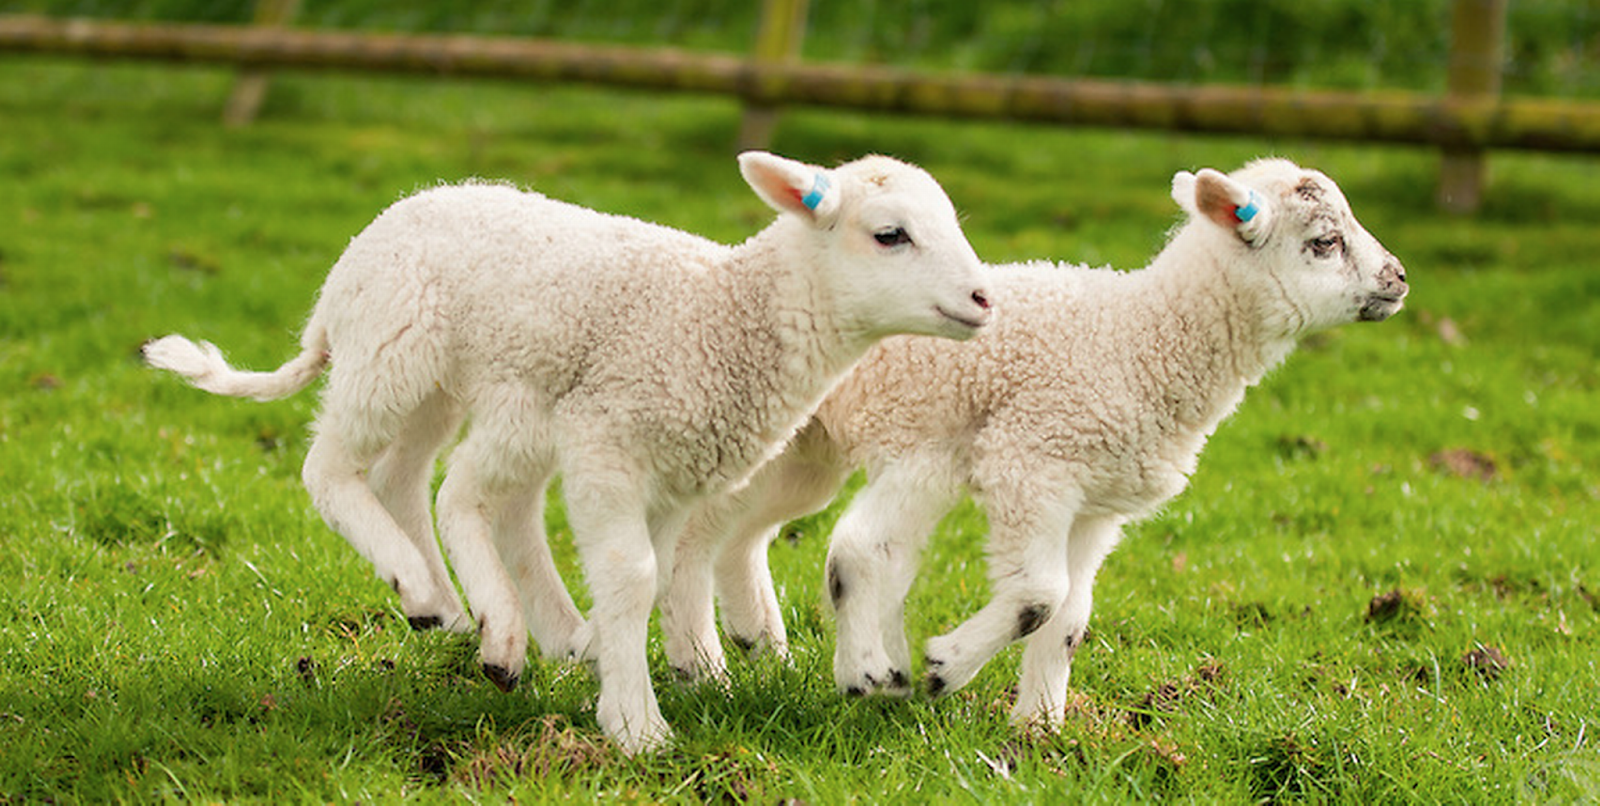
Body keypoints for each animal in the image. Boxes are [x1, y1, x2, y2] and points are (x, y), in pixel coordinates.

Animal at [143, 151, 993, 754]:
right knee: (339, 470)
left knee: (412, 481)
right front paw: (637, 726)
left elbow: (652, 579)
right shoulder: (607, 443)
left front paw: (619, 671)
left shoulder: (673, 472)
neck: (721, 312)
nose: (985, 299)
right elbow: (632, 575)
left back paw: (453, 611)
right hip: (395, 352)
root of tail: (349, 264)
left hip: (458, 385)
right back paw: (442, 597)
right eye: (889, 234)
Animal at [659, 158, 1408, 731]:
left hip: (805, 452)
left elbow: (1071, 617)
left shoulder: (1097, 505)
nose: (1399, 279)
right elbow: (1041, 595)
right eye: (1324, 242)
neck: (1141, 340)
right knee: (703, 529)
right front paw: (945, 668)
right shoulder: (1033, 461)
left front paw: (1040, 730)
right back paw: (703, 665)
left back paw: (760, 644)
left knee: (742, 535)